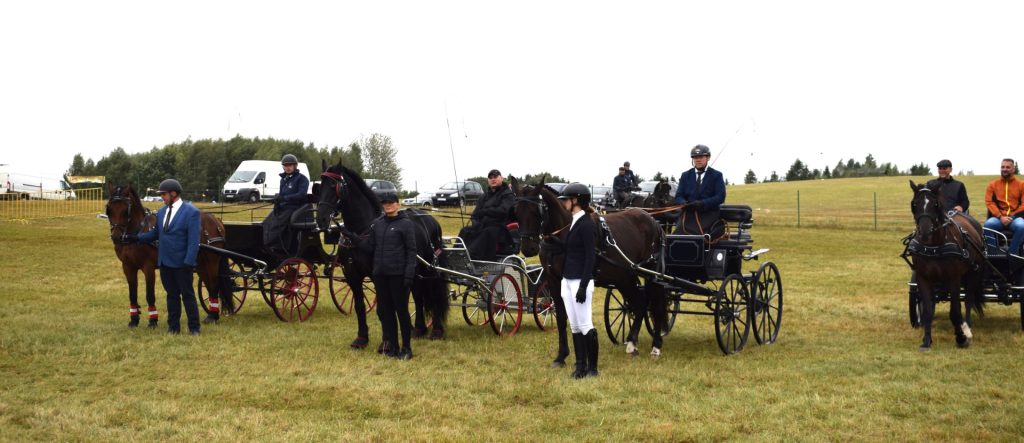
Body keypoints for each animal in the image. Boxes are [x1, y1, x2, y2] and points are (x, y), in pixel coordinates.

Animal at [313, 159, 450, 345]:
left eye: (335, 186)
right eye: (320, 187)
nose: (321, 219)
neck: (360, 233)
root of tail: (429, 219)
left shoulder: (378, 275)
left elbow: (383, 310)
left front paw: (386, 342)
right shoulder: (352, 276)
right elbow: (359, 307)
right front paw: (361, 338)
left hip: (430, 268)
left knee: (434, 294)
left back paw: (436, 330)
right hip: (413, 270)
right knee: (418, 294)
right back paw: (418, 329)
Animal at [512, 176, 671, 362]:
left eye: (536, 211)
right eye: (516, 211)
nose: (528, 248)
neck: (564, 233)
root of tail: (653, 221)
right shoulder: (554, 280)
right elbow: (561, 317)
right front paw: (562, 355)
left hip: (650, 273)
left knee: (656, 305)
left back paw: (655, 346)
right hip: (625, 276)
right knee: (641, 303)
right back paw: (632, 342)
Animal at [909, 180, 987, 347]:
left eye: (935, 204)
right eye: (914, 204)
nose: (925, 232)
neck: (934, 245)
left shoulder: (954, 278)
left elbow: (955, 311)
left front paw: (961, 337)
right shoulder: (923, 277)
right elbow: (928, 310)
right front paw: (926, 340)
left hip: (973, 272)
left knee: (968, 299)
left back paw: (967, 327)